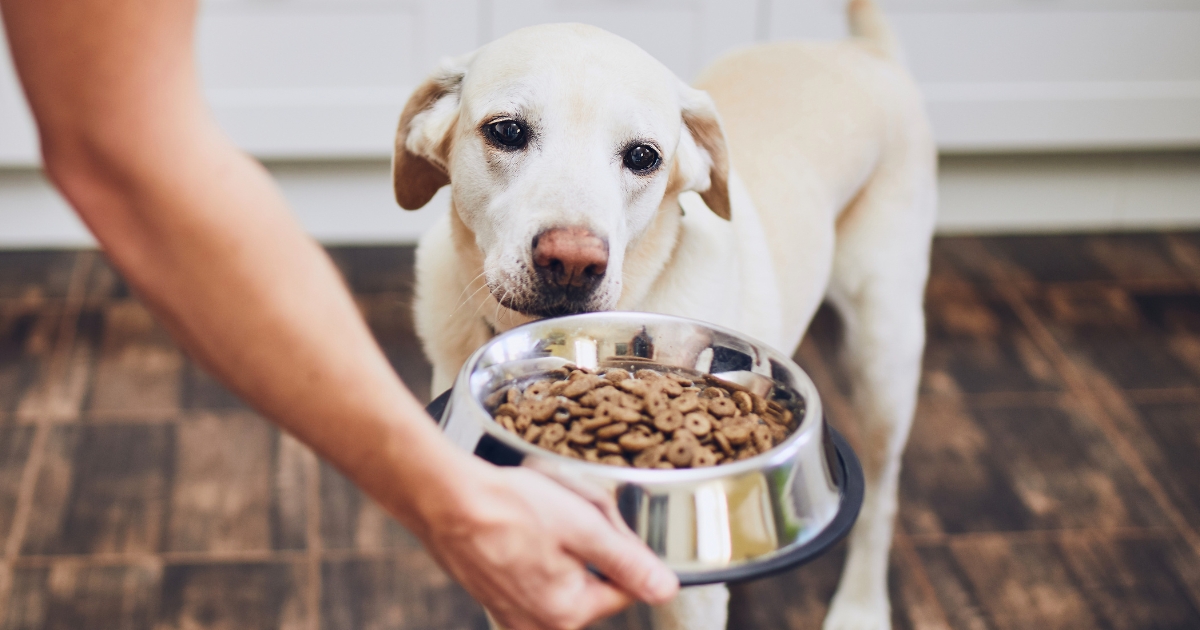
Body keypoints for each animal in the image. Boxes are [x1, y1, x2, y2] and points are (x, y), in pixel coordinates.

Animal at [393, 2, 936, 624]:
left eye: (643, 156)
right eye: (506, 131)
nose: (572, 262)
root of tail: (868, 51)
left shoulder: (689, 601)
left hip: (885, 356)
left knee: (883, 498)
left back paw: (861, 606)